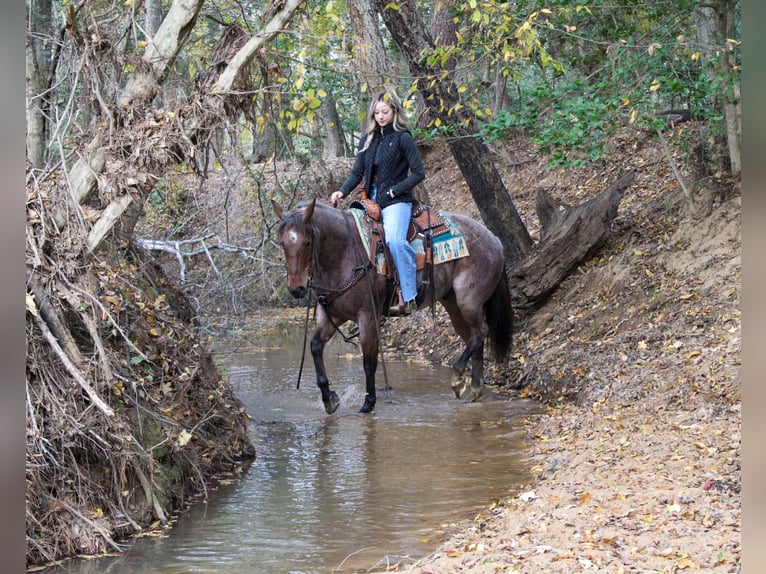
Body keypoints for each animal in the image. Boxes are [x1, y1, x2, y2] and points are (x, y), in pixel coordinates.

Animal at [273, 198, 512, 415]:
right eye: (282, 243)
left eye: (307, 242)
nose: (296, 289)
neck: (344, 253)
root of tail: (495, 240)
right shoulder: (331, 314)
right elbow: (315, 346)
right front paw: (329, 398)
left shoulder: (367, 317)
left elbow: (369, 362)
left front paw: (368, 404)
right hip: (453, 304)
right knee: (473, 337)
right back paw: (474, 390)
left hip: (468, 300)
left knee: (481, 332)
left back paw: (457, 377)